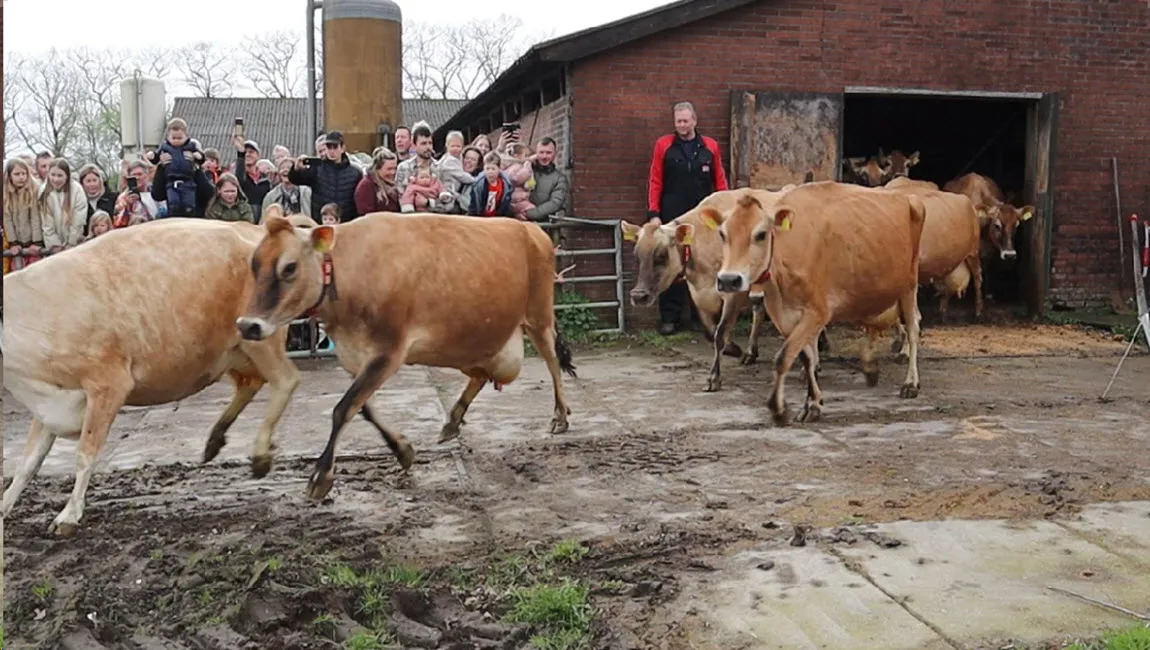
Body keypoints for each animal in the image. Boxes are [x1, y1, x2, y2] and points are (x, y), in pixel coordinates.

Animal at [0, 210, 310, 533]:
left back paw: (260, 455)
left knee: (285, 380)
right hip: (231, 352)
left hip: (260, 335)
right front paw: (4, 507)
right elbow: (28, 462)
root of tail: (257, 228)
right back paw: (215, 439)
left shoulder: (108, 383)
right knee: (251, 382)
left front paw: (69, 515)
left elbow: (85, 453)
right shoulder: (50, 400)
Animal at [235, 210, 575, 499]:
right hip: (470, 341)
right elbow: (363, 408)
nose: (247, 325)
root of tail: (531, 229)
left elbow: (343, 409)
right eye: (253, 263)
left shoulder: (389, 351)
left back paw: (560, 415)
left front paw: (321, 476)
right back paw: (453, 420)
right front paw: (402, 450)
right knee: (480, 374)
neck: (350, 270)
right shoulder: (354, 357)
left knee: (552, 361)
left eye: (289, 267)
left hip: (539, 318)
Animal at [703, 179, 929, 423]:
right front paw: (813, 403)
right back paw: (870, 368)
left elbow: (783, 357)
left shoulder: (817, 312)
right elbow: (805, 357)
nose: (729, 280)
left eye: (761, 234)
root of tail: (907, 197)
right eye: (722, 234)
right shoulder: (786, 317)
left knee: (913, 329)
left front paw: (778, 407)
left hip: (909, 284)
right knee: (872, 323)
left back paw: (910, 383)